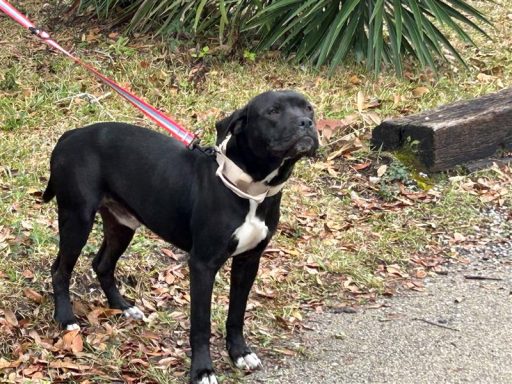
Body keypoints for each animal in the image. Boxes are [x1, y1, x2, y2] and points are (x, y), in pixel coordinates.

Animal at [44, 89, 318, 380]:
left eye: (309, 109)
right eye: (273, 111)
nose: (306, 123)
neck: (250, 189)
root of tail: (71, 134)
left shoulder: (248, 262)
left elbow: (237, 313)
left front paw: (239, 353)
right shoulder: (203, 265)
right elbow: (201, 324)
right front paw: (202, 370)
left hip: (122, 224)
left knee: (102, 264)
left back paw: (123, 307)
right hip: (77, 218)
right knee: (60, 270)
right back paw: (66, 319)